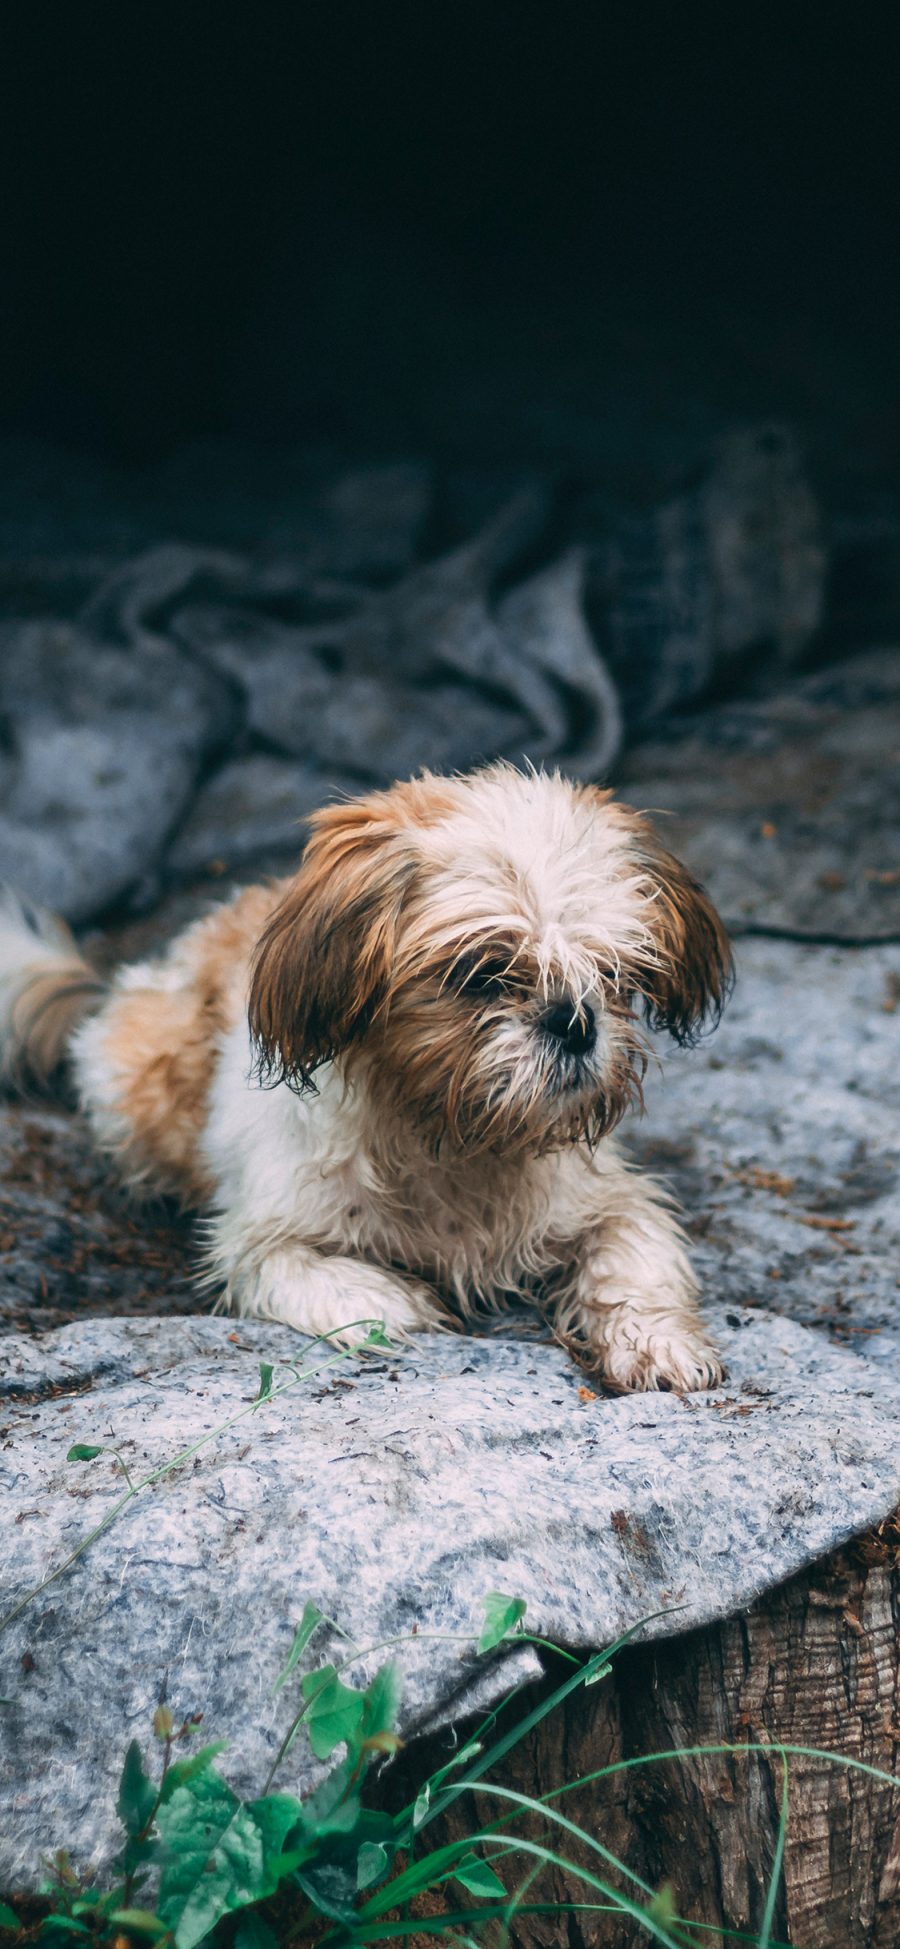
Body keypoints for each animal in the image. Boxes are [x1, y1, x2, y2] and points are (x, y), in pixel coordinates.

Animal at [0, 760, 732, 1387]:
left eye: (614, 972)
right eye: (481, 974)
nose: (573, 1022)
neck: (454, 1137)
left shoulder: (611, 1199)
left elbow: (634, 1258)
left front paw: (657, 1342)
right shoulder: (259, 1242)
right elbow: (330, 1279)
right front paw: (397, 1298)